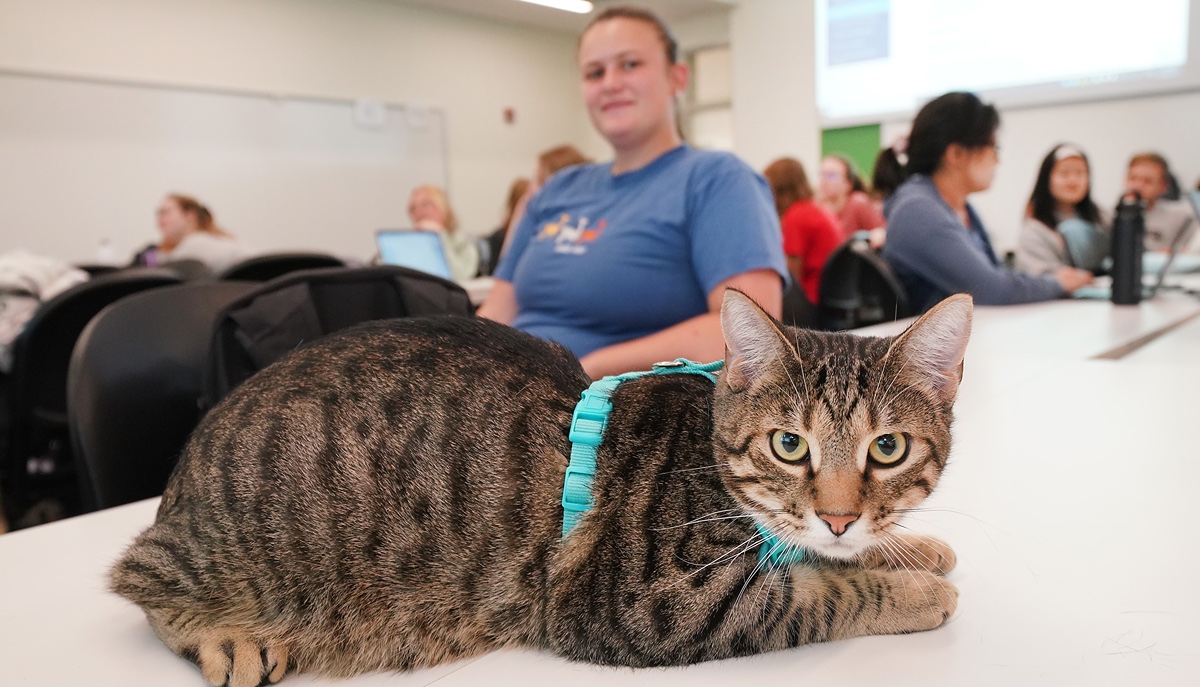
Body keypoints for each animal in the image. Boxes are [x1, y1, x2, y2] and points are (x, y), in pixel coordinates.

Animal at [112, 290, 969, 687]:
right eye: (789, 444)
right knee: (139, 583)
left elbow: (829, 559)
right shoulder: (648, 602)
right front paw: (916, 589)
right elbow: (817, 593)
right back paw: (226, 633)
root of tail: (177, 482)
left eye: (887, 447)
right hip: (213, 555)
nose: (839, 513)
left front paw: (907, 545)